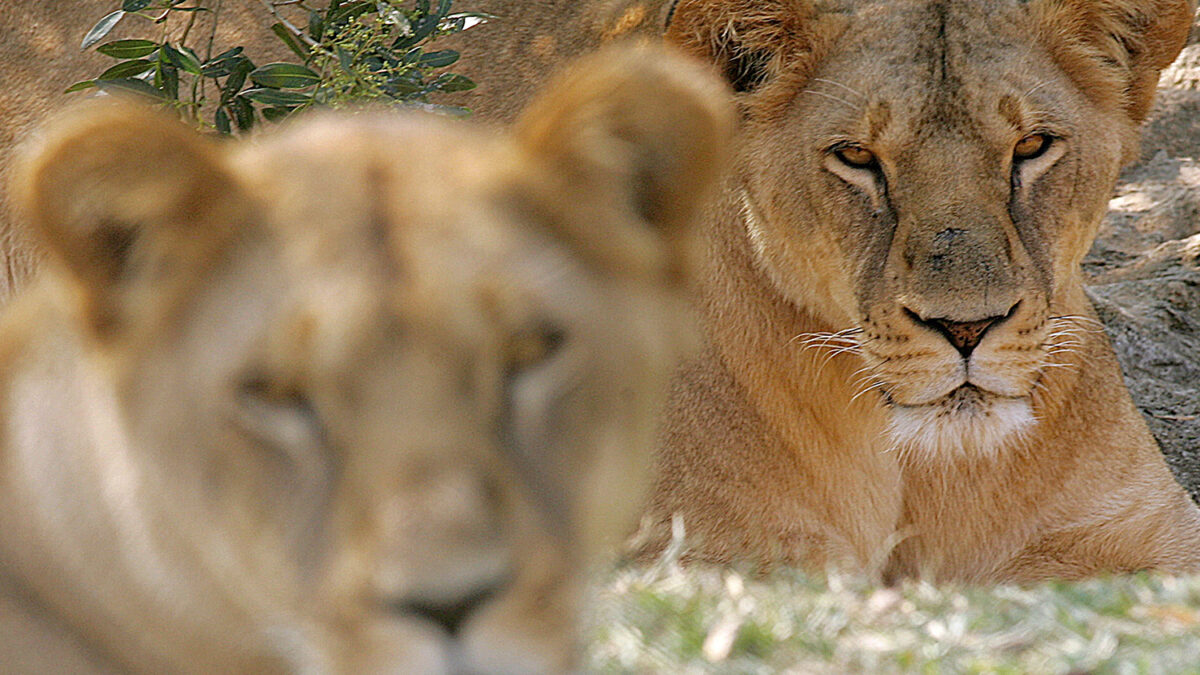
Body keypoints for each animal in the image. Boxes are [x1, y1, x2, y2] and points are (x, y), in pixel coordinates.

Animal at [638, 0, 1200, 581]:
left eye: (1033, 146)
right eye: (855, 156)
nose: (967, 328)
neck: (924, 468)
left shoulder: (1139, 527)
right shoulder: (698, 549)